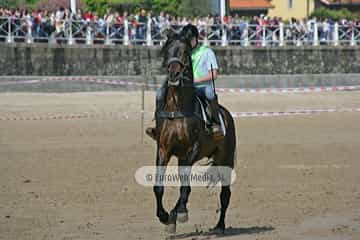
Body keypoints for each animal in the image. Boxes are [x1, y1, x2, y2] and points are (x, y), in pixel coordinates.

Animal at [146, 28, 236, 234]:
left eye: (185, 52)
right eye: (168, 49)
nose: (173, 73)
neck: (177, 107)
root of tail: (227, 115)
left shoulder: (193, 149)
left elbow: (185, 187)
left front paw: (178, 213)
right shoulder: (163, 149)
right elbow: (159, 186)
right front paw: (165, 216)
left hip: (226, 159)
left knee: (225, 194)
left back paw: (220, 226)